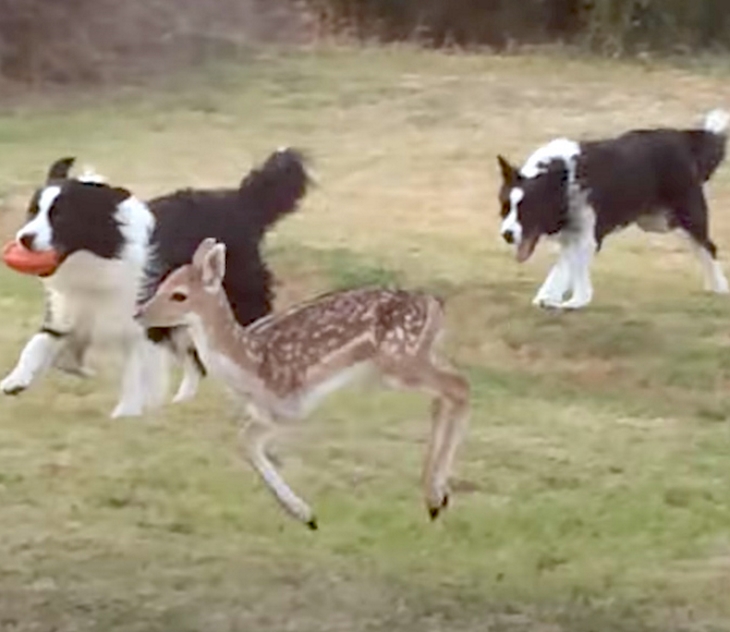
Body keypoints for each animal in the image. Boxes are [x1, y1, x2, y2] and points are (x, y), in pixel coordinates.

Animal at [1, 148, 309, 417]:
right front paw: (15, 381)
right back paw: (181, 402)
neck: (97, 259)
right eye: (32, 212)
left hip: (236, 303)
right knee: (195, 364)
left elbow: (134, 373)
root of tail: (241, 202)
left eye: (61, 216)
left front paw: (126, 414)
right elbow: (39, 346)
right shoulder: (70, 313)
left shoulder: (140, 324)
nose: (23, 239)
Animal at [136, 238, 470, 529]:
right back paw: (436, 496)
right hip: (411, 360)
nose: (139, 314)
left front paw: (304, 514)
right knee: (445, 394)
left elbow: (246, 440)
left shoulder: (291, 406)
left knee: (459, 386)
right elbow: (246, 441)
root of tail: (435, 304)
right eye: (162, 283)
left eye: (179, 295)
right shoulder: (265, 413)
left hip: (399, 360)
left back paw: (434, 497)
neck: (251, 364)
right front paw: (305, 515)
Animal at [497, 109, 730, 310]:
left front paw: (576, 300)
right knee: (700, 246)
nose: (507, 235)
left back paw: (720, 287)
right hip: (658, 222)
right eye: (505, 207)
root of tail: (682, 139)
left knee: (709, 246)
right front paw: (549, 297)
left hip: (684, 215)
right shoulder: (572, 233)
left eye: (528, 210)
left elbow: (573, 267)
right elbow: (563, 267)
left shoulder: (587, 236)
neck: (563, 181)